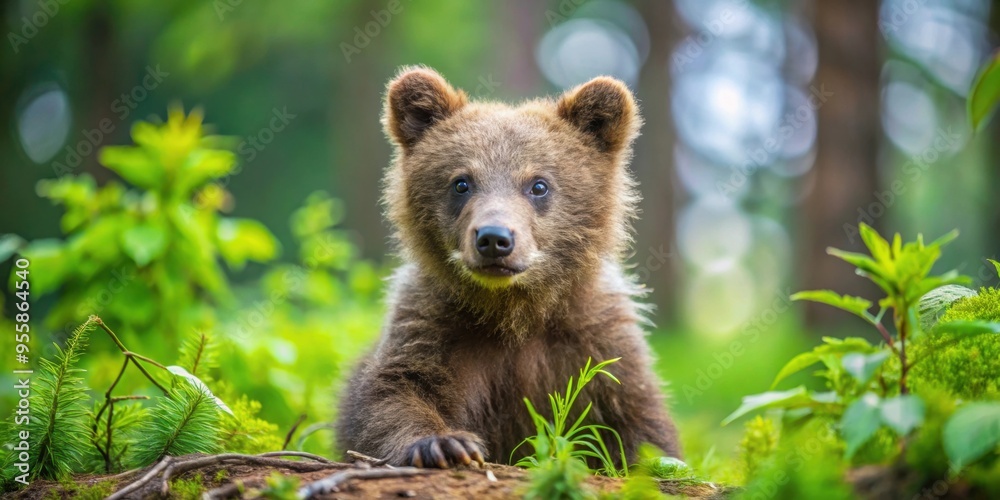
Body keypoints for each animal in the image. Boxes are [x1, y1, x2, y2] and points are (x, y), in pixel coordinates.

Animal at [335, 66, 680, 469]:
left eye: (539, 185)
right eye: (461, 182)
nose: (494, 238)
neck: (514, 312)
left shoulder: (595, 339)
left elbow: (637, 420)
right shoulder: (431, 326)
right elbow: (391, 393)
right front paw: (444, 444)